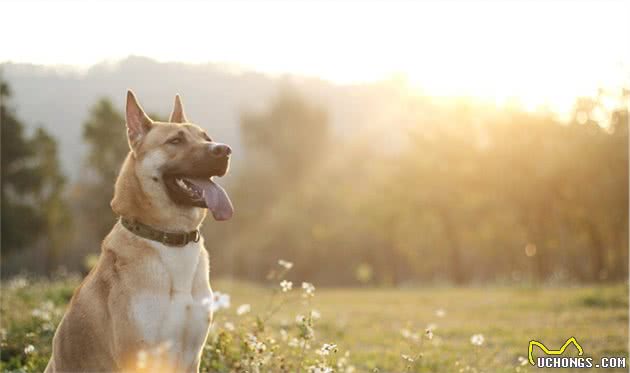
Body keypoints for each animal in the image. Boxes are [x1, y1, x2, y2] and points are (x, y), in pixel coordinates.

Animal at [45, 91, 235, 372]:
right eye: (175, 141)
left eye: (207, 138)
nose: (224, 150)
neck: (170, 239)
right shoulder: (137, 355)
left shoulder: (192, 356)